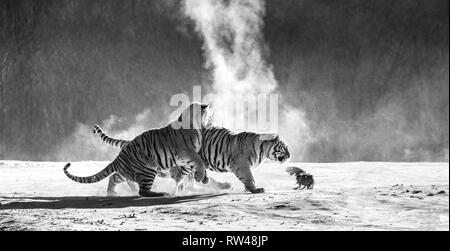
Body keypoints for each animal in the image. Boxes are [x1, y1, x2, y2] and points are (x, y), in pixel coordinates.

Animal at [63, 101, 213, 196]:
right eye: (210, 115)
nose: (212, 121)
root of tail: (120, 155)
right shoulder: (187, 152)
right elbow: (199, 162)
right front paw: (200, 177)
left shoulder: (184, 158)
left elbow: (195, 166)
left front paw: (204, 179)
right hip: (148, 168)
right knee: (143, 191)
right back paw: (161, 194)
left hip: (127, 171)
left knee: (114, 177)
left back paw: (112, 193)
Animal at [92, 125, 292, 194]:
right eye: (284, 146)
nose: (290, 155)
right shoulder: (241, 165)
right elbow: (249, 178)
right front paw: (255, 189)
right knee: (119, 176)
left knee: (118, 175)